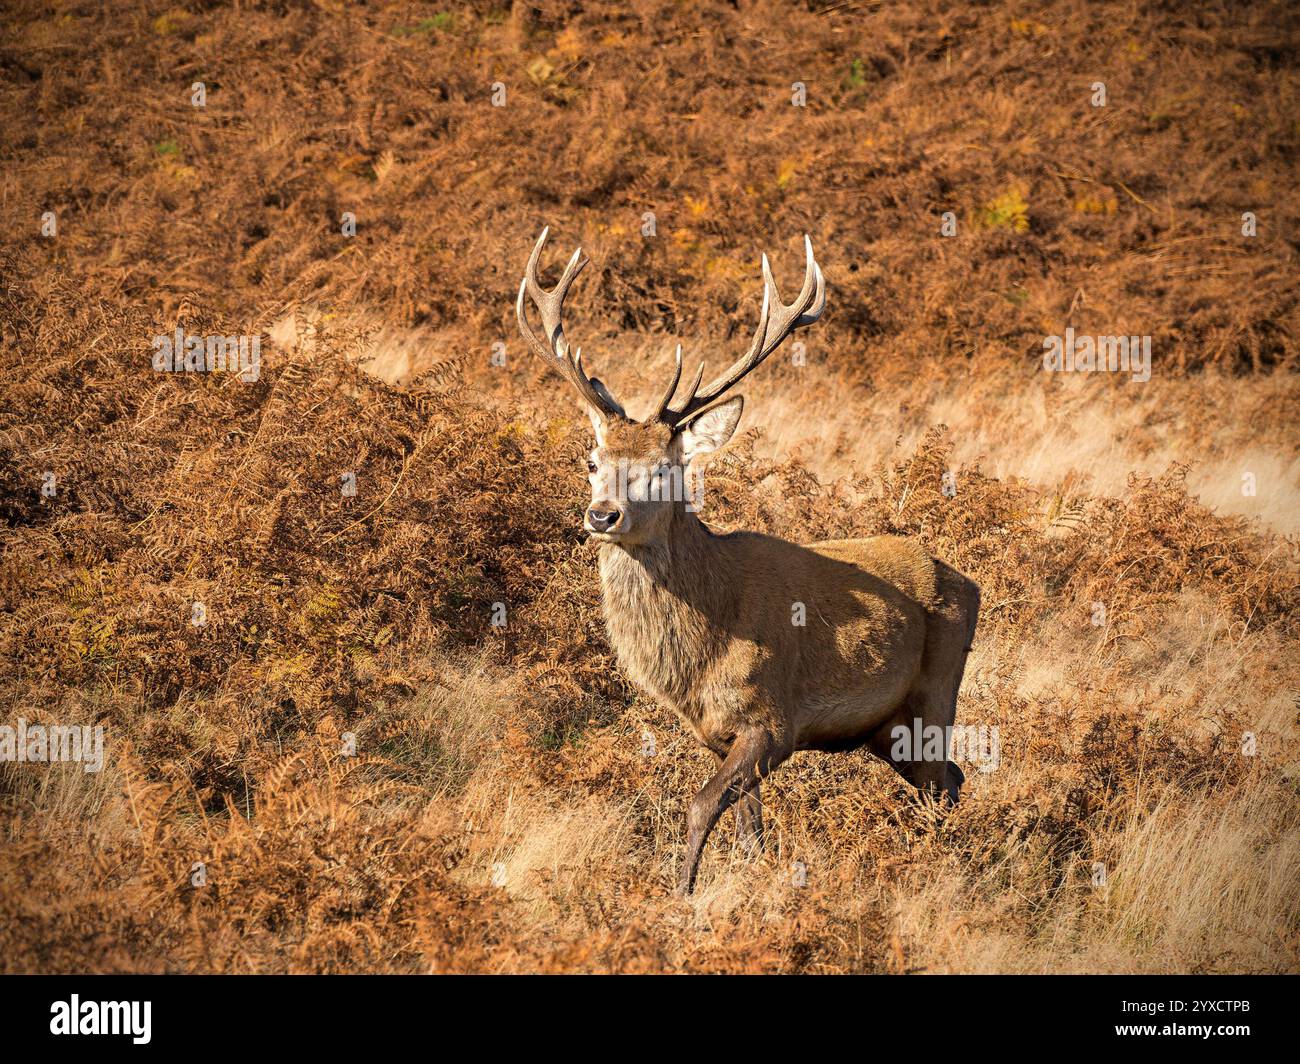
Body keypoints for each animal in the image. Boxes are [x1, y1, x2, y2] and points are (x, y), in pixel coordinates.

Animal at [516, 228, 981, 895]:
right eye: (592, 459)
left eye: (663, 469)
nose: (601, 516)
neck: (703, 653)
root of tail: (968, 584)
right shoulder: (716, 732)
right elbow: (748, 829)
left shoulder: (773, 717)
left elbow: (700, 805)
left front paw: (680, 895)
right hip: (885, 729)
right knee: (952, 779)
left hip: (936, 694)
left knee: (946, 782)